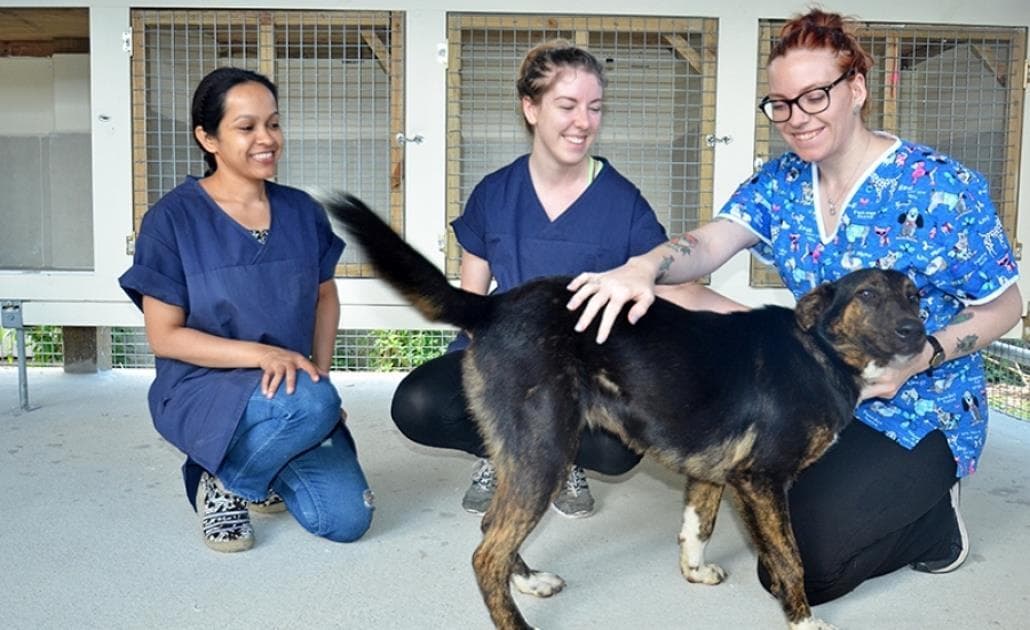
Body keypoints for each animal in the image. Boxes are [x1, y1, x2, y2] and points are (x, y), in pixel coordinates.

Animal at [325, 194, 931, 630]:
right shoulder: (761, 481)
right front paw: (804, 622)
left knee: (492, 528)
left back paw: (530, 582)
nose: (918, 333)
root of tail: (494, 305)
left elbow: (696, 526)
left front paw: (694, 572)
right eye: (868, 296)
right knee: (486, 552)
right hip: (547, 450)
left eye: (916, 296)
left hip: (521, 452)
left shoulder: (714, 474)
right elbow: (790, 559)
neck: (820, 351)